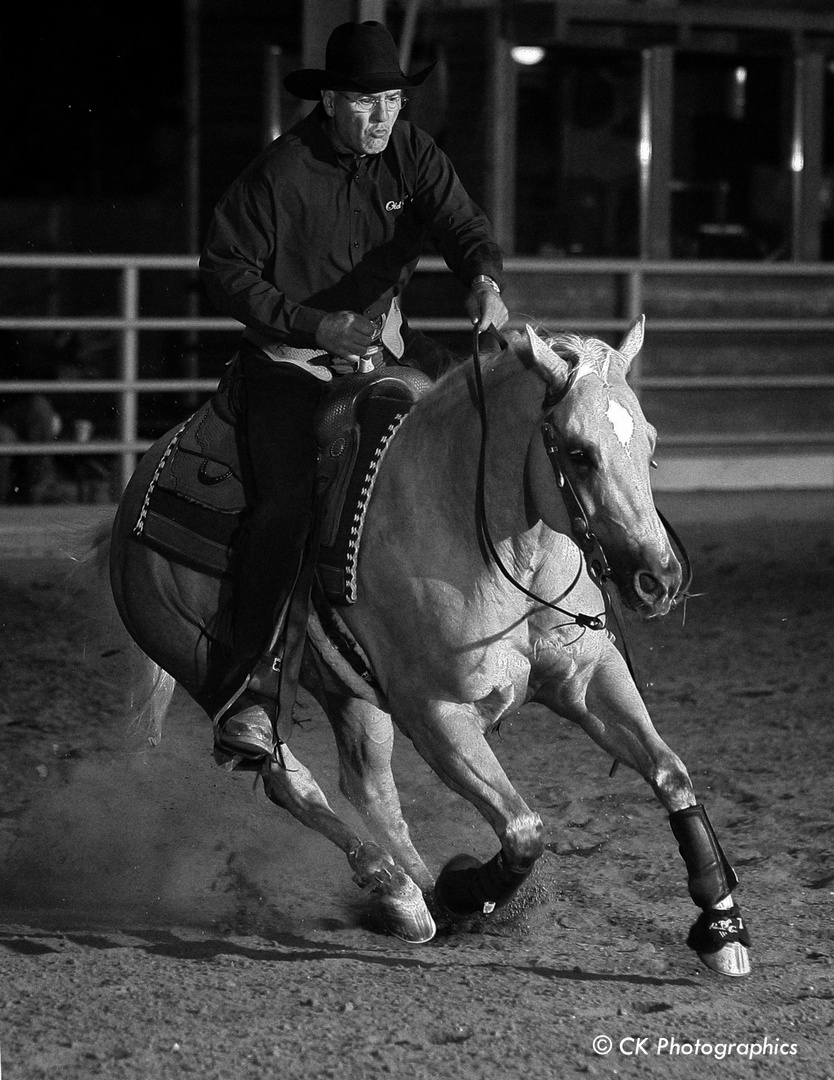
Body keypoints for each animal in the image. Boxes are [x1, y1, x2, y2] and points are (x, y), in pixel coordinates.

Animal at [107, 317, 751, 980]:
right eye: (578, 452)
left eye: (649, 442)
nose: (660, 579)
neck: (488, 541)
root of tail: (141, 482)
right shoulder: (437, 713)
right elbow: (523, 829)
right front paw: (467, 887)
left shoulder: (589, 680)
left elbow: (671, 772)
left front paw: (721, 925)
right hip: (201, 662)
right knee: (289, 778)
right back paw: (402, 888)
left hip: (349, 694)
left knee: (369, 787)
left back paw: (412, 896)